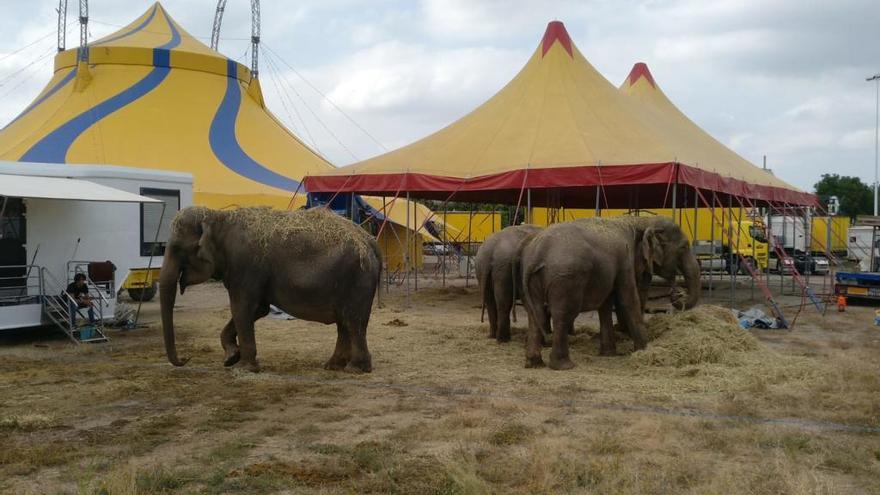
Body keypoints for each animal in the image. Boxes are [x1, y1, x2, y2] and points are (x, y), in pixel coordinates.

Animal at [160, 205, 380, 372]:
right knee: (344, 323)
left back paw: (355, 369)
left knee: (352, 321)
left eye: (177, 248)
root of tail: (370, 241)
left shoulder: (245, 265)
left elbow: (242, 308)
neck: (218, 216)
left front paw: (244, 367)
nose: (185, 359)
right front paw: (231, 357)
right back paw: (333, 366)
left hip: (357, 279)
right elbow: (259, 309)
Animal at [524, 215, 700, 370]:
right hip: (566, 278)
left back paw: (534, 363)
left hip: (535, 281)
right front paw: (645, 350)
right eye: (684, 247)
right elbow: (628, 299)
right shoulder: (625, 259)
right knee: (563, 314)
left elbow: (606, 305)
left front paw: (609, 354)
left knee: (536, 313)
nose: (677, 293)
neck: (640, 220)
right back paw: (564, 366)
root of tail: (537, 253)